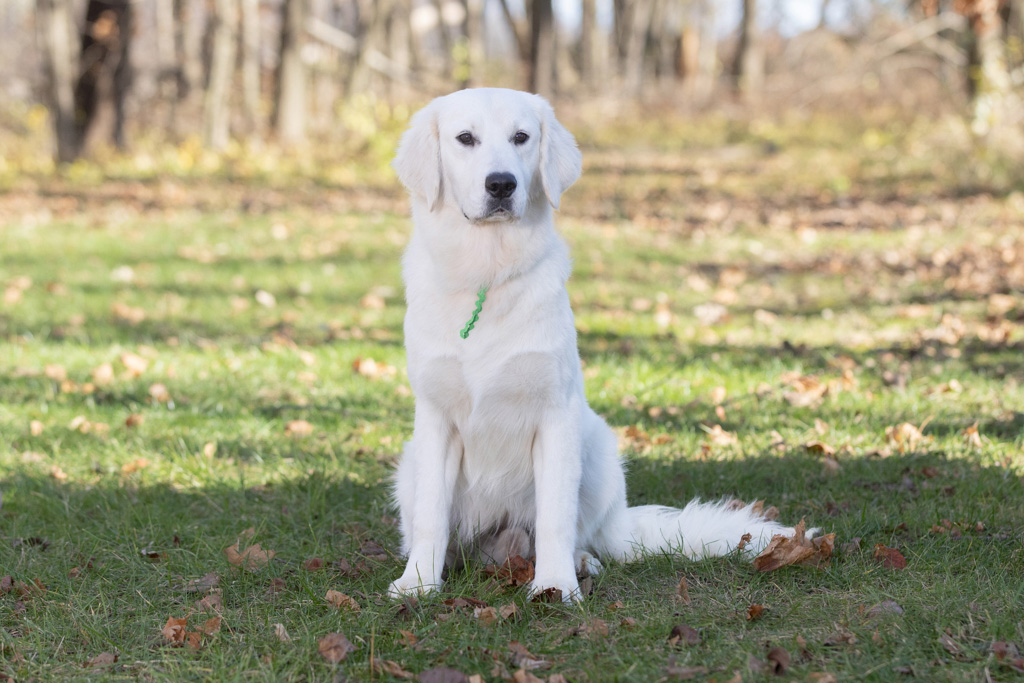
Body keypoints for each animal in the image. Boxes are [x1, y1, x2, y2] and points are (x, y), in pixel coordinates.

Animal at [387, 89, 794, 602]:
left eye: (521, 137)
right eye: (465, 138)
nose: (501, 184)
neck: (488, 273)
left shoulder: (556, 415)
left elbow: (556, 517)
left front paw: (555, 585)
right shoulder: (436, 419)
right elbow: (431, 517)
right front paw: (418, 582)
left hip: (597, 446)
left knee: (579, 532)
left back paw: (580, 561)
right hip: (409, 463)